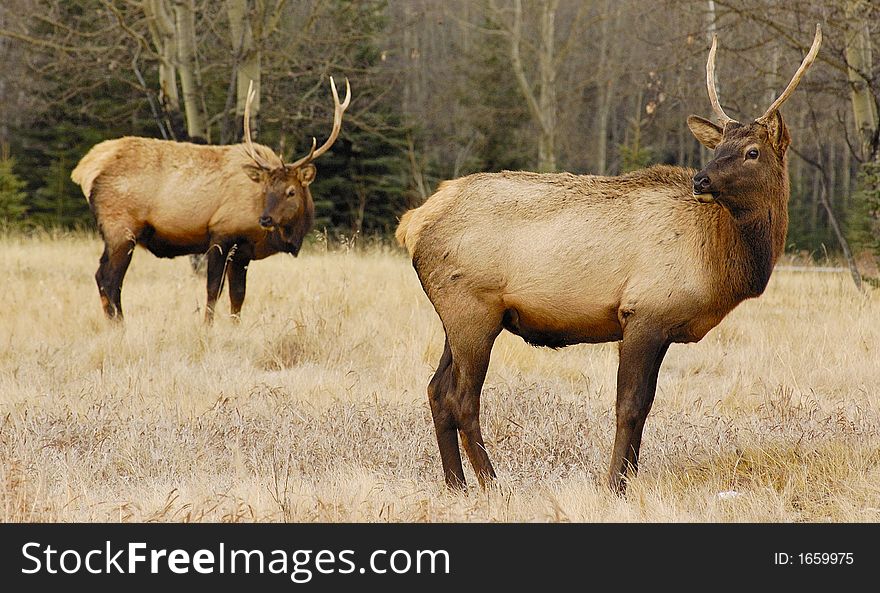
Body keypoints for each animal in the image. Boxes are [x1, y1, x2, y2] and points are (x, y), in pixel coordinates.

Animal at [72, 77, 352, 324]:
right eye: (266, 188)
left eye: (290, 191)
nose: (265, 218)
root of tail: (85, 169)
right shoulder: (221, 233)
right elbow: (213, 290)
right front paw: (207, 327)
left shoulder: (243, 252)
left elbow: (238, 296)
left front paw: (234, 327)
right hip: (121, 228)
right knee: (109, 278)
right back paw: (120, 325)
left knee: (101, 276)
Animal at [398, 26, 824, 490]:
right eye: (721, 147)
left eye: (752, 152)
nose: (701, 179)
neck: (721, 257)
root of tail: (414, 222)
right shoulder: (643, 313)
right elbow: (630, 407)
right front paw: (615, 484)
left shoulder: (663, 328)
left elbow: (646, 407)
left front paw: (628, 478)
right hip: (473, 310)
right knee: (462, 398)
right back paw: (492, 483)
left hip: (457, 316)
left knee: (436, 390)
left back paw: (456, 484)